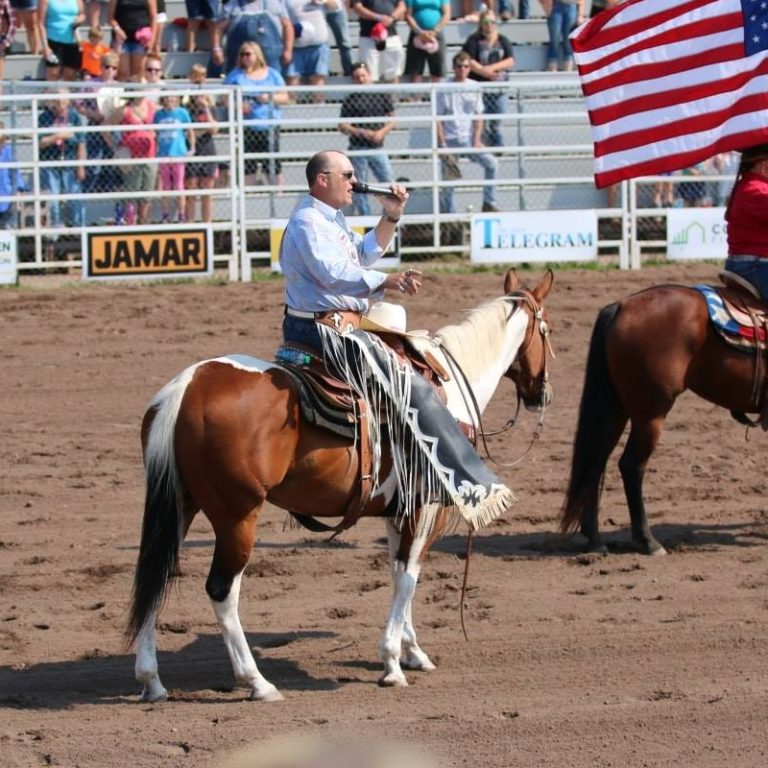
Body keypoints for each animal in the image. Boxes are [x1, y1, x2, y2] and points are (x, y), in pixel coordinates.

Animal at [127, 268, 560, 704]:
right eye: (548, 330)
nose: (542, 394)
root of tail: (188, 387)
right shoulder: (426, 509)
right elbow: (409, 577)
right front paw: (392, 663)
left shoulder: (399, 511)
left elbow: (399, 573)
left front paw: (412, 651)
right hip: (238, 516)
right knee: (222, 590)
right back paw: (257, 682)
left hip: (179, 505)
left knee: (157, 574)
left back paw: (152, 681)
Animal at [560, 284, 760, 556]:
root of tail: (621, 305)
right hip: (651, 415)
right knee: (631, 466)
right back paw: (647, 541)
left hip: (615, 410)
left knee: (595, 461)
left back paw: (595, 539)